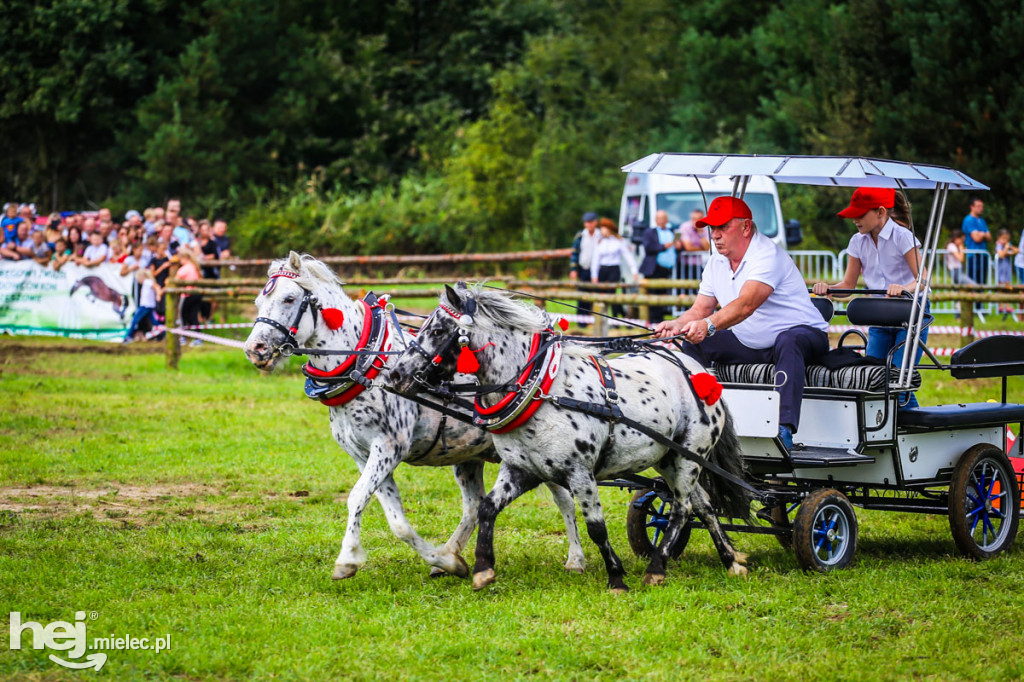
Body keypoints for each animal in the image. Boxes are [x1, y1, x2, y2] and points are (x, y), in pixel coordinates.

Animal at [241, 251, 585, 581]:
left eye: (289, 298)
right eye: (258, 301)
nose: (254, 348)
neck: (367, 363)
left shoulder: (389, 447)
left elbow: (357, 498)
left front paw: (347, 559)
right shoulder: (363, 455)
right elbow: (397, 521)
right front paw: (446, 562)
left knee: (564, 500)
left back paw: (576, 559)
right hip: (474, 458)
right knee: (475, 506)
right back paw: (451, 554)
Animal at [387, 280, 749, 589]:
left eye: (436, 330)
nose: (395, 374)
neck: (542, 389)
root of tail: (701, 373)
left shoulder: (580, 473)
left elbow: (596, 527)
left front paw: (616, 578)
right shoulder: (521, 470)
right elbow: (488, 508)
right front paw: (482, 569)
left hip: (691, 456)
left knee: (682, 509)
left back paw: (657, 569)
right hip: (670, 458)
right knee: (703, 505)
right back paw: (731, 560)